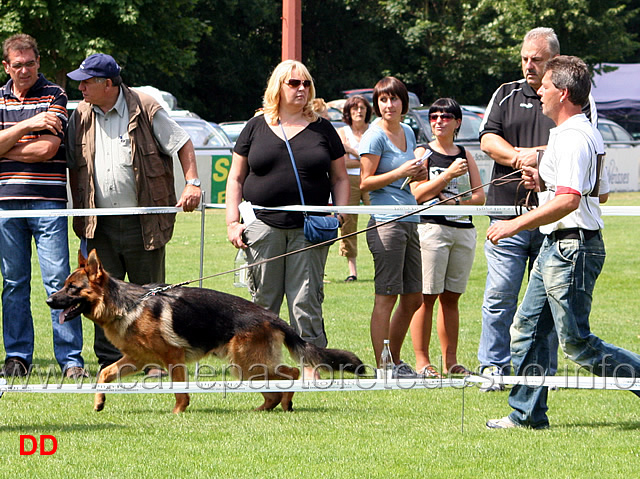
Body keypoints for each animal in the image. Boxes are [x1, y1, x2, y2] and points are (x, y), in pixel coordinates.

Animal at [45, 249, 364, 414]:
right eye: (64, 285)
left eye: (72, 288)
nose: (48, 301)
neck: (127, 304)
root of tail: (273, 316)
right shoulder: (135, 360)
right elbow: (104, 374)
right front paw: (99, 401)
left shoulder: (172, 359)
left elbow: (179, 391)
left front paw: (178, 413)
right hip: (246, 366)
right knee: (279, 381)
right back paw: (268, 407)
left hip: (246, 363)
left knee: (292, 373)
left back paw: (284, 403)